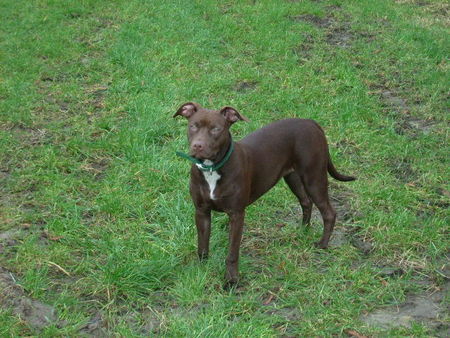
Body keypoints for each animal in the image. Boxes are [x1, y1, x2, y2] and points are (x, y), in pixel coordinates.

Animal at [174, 101, 354, 286]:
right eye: (193, 126)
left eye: (216, 129)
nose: (198, 145)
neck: (211, 169)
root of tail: (311, 122)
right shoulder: (201, 211)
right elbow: (202, 245)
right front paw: (201, 270)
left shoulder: (237, 214)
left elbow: (232, 252)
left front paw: (231, 280)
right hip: (293, 177)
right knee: (306, 201)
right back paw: (303, 230)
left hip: (314, 177)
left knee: (329, 212)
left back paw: (322, 244)